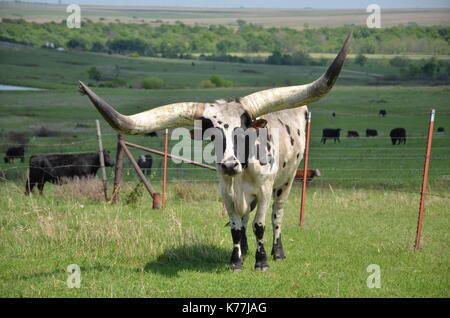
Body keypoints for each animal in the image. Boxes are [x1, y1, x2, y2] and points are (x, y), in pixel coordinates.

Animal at [78, 33, 352, 270]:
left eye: (245, 130)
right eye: (212, 135)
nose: (230, 165)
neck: (242, 173)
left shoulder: (264, 190)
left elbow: (260, 225)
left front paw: (262, 262)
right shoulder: (226, 192)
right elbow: (236, 227)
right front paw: (236, 260)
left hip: (287, 181)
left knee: (277, 215)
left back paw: (278, 252)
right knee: (245, 218)